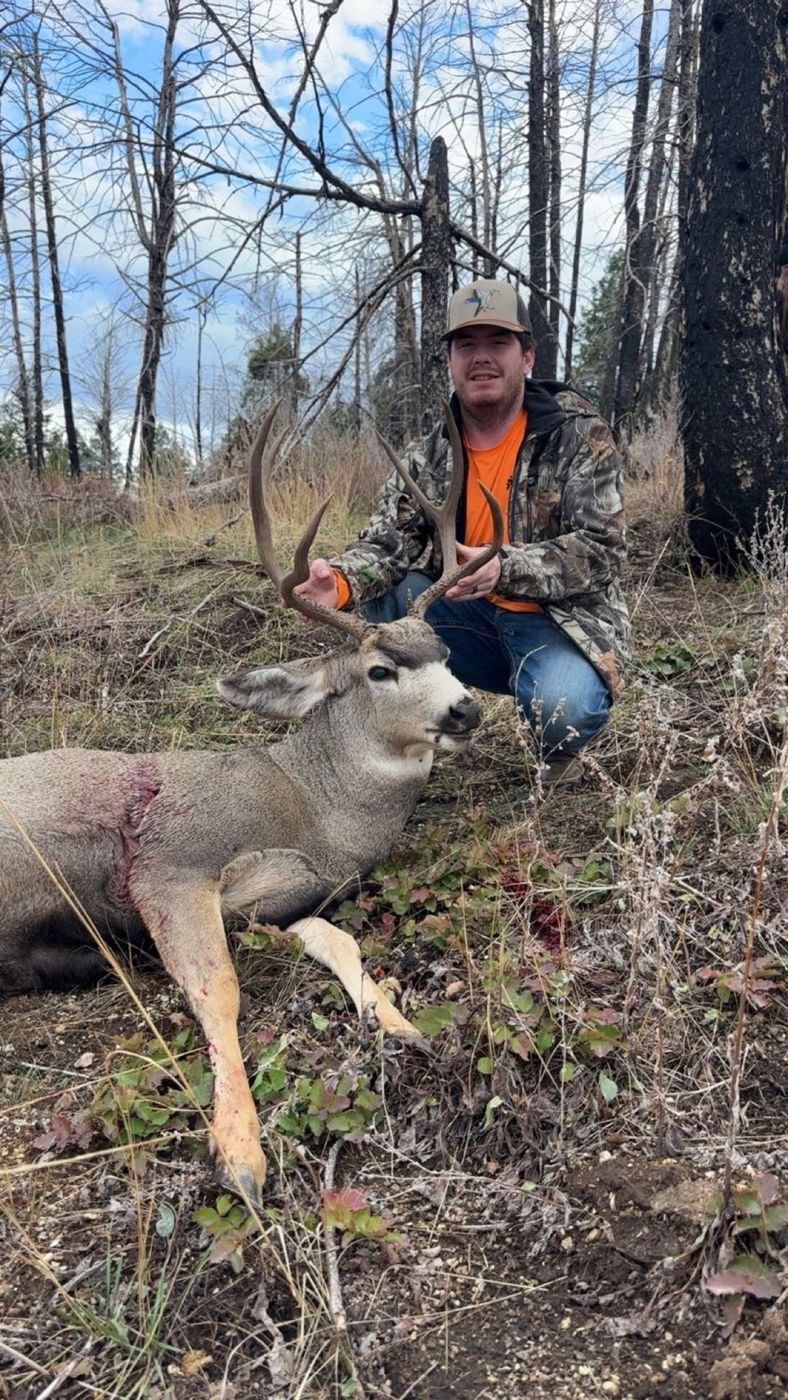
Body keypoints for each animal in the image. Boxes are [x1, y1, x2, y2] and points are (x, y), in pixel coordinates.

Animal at [0, 402, 502, 1203]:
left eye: (447, 654)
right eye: (380, 669)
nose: (465, 710)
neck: (310, 806)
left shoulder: (291, 897)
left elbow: (338, 941)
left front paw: (400, 1024)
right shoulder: (170, 863)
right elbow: (219, 989)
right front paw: (240, 1150)